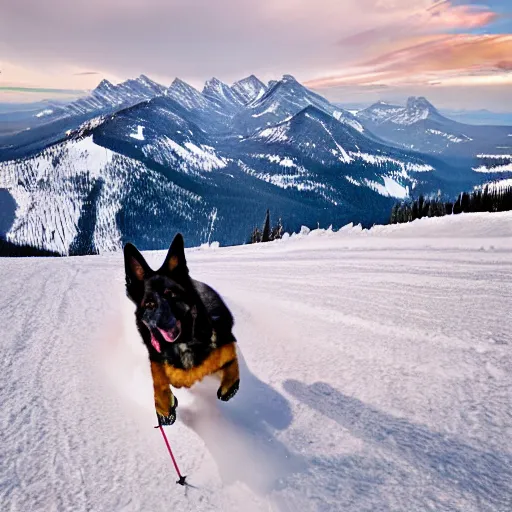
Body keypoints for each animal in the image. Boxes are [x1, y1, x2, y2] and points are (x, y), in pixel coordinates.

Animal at [124, 234, 240, 426]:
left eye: (171, 295)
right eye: (149, 304)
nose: (164, 324)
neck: (182, 343)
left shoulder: (224, 339)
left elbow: (230, 359)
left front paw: (229, 384)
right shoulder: (156, 356)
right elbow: (159, 377)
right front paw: (163, 405)